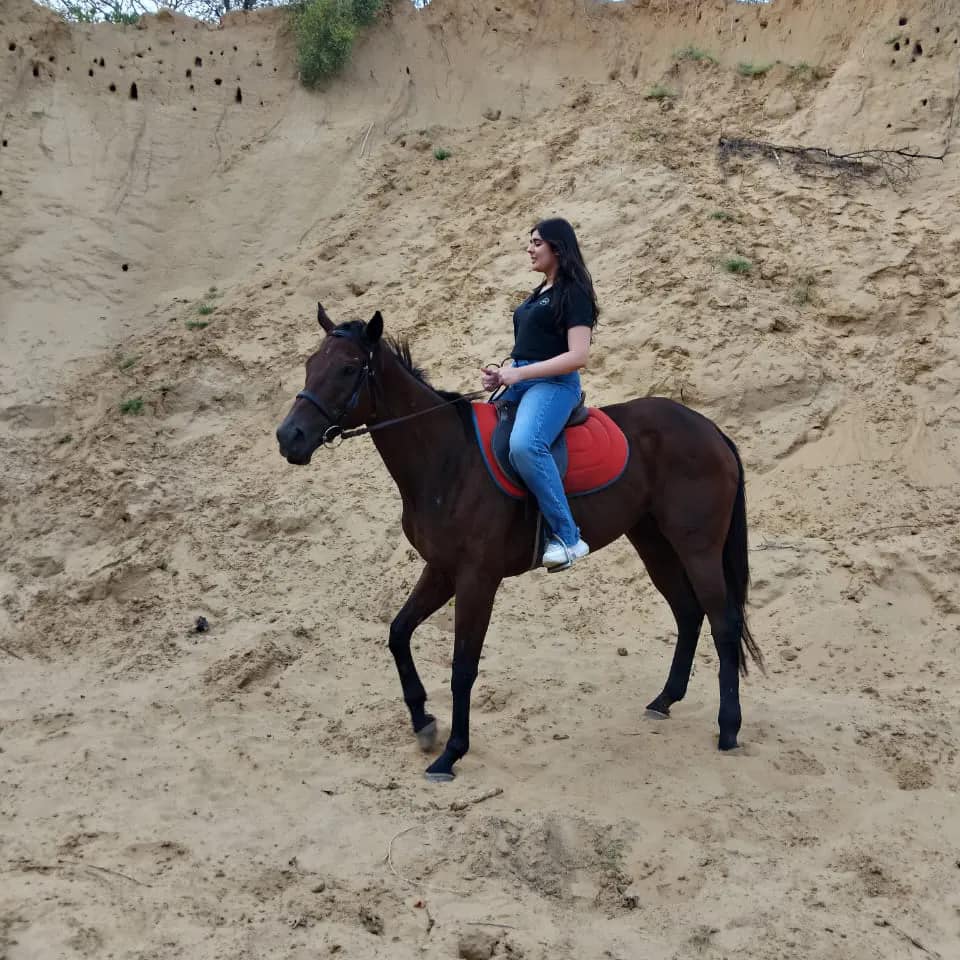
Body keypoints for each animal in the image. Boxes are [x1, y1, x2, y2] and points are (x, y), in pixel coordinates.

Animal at [275, 304, 763, 781]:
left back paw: (729, 728)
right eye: (311, 365)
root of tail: (708, 429)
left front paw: (451, 753)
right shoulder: (442, 569)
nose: (288, 437)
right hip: (653, 541)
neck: (448, 460)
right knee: (688, 612)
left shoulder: (477, 578)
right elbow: (398, 633)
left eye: (348, 368)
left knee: (723, 623)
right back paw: (664, 700)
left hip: (697, 547)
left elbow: (462, 667)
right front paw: (424, 723)